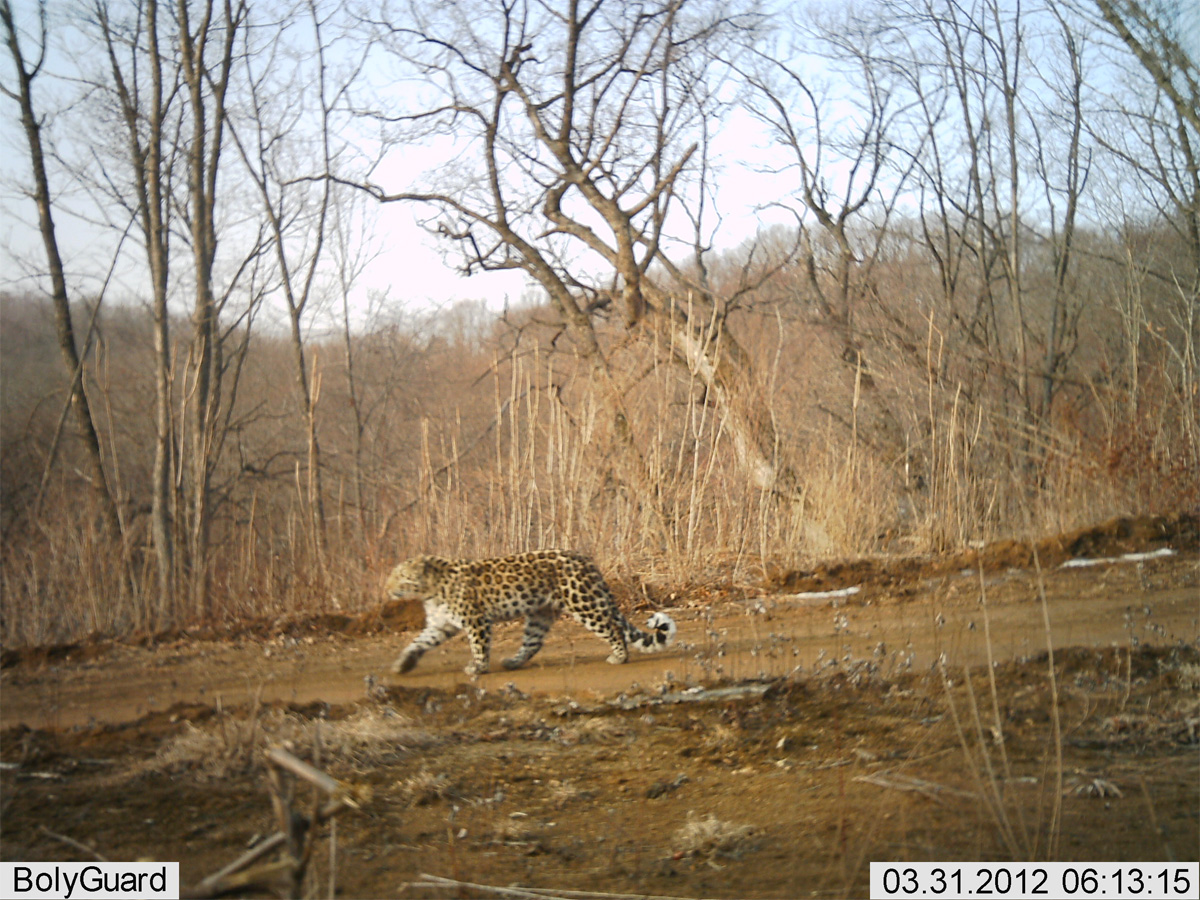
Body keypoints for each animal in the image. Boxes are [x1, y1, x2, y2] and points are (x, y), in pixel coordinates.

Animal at [388, 549, 681, 676]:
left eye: (401, 577)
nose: (388, 589)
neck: (430, 590)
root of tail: (585, 559)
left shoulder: (476, 620)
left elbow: (479, 646)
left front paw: (478, 667)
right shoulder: (440, 625)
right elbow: (418, 643)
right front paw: (402, 665)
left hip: (583, 601)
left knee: (612, 627)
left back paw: (619, 657)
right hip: (540, 612)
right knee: (533, 642)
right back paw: (513, 662)